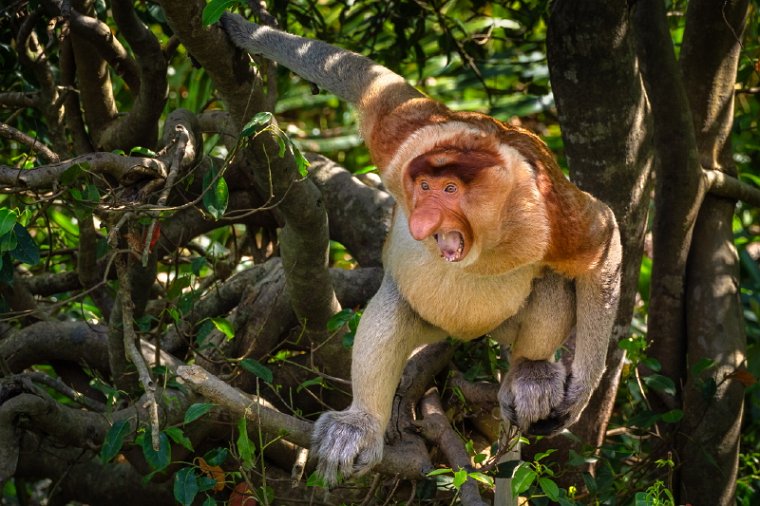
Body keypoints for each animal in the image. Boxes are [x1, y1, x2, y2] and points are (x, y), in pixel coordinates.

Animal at [220, 11, 624, 484]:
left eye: (450, 189)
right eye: (424, 186)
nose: (421, 221)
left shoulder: (548, 213)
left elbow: (602, 241)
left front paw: (577, 395)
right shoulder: (403, 142)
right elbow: (370, 82)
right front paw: (242, 29)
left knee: (551, 283)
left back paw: (532, 373)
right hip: (427, 321)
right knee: (392, 311)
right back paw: (359, 426)